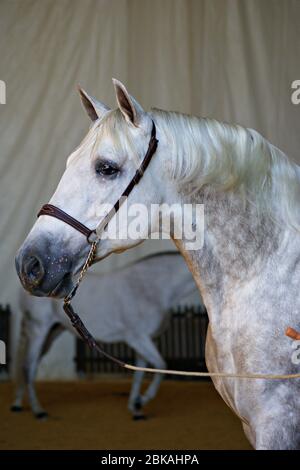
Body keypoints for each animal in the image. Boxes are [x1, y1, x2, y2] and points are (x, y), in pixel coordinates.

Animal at [12, 252, 199, 420]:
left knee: (29, 365)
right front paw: (141, 401)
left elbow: (140, 373)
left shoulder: (145, 341)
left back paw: (18, 404)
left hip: (52, 333)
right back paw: (38, 411)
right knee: (28, 366)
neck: (152, 288)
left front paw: (135, 408)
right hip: (38, 331)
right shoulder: (138, 339)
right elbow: (161, 366)